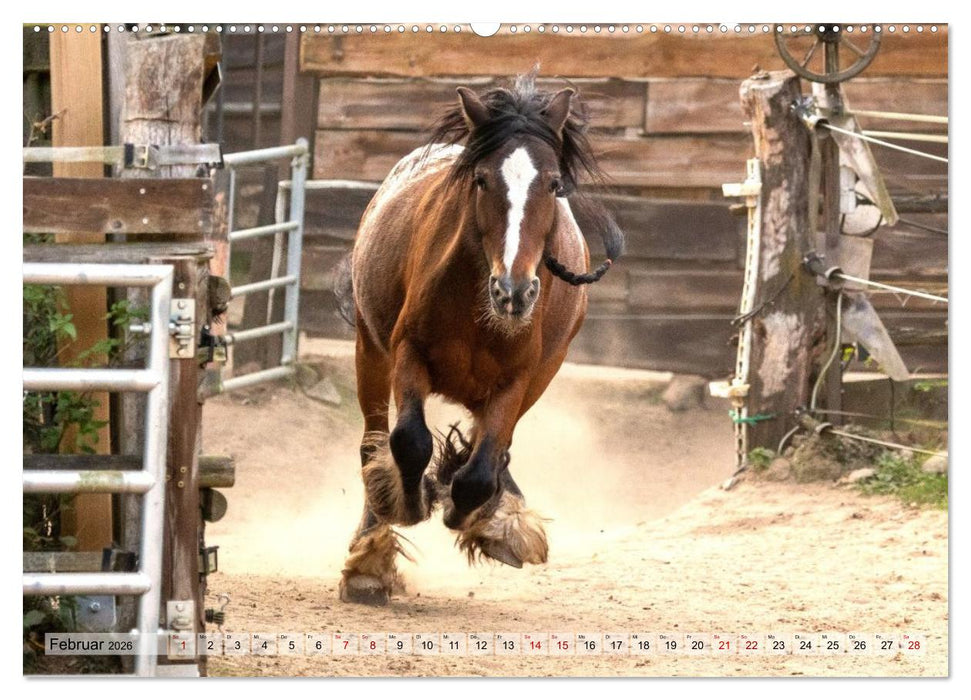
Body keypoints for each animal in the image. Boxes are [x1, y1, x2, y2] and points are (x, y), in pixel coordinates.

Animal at [336, 74, 625, 605]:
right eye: (482, 179)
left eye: (553, 184)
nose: (513, 291)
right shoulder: (408, 354)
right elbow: (408, 441)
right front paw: (409, 503)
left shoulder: (519, 381)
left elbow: (479, 468)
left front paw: (475, 514)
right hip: (370, 351)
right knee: (372, 443)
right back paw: (370, 557)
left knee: (491, 450)